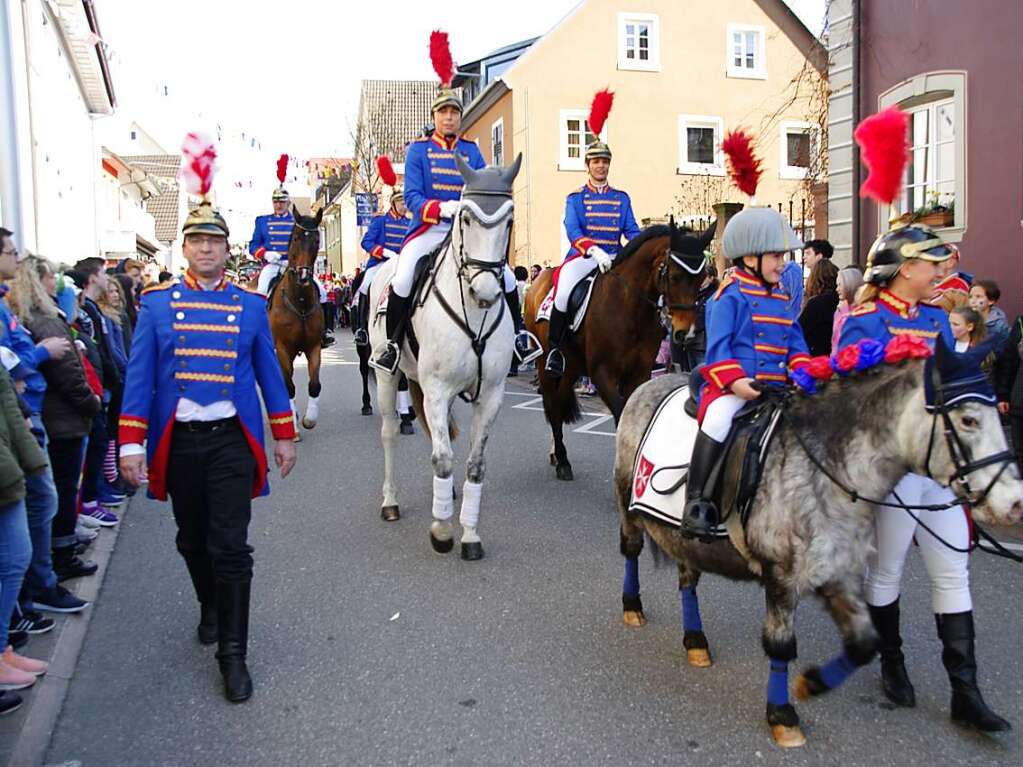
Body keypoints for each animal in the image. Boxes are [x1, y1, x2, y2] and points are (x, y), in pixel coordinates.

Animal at [370, 153, 523, 560]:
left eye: (509, 221)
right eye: (465, 218)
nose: (485, 291)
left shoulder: (490, 395)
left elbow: (474, 465)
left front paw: (469, 534)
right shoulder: (437, 389)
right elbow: (441, 459)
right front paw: (441, 531)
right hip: (388, 377)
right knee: (390, 432)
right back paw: (390, 502)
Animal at [523, 218, 716, 478]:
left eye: (701, 277)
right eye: (674, 276)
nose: (686, 332)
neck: (630, 307)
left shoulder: (638, 373)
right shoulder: (602, 373)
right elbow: (621, 413)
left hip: (571, 366)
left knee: (560, 400)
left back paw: (558, 455)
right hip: (546, 364)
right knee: (553, 405)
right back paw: (562, 461)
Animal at [609, 345, 1018, 748]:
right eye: (968, 420)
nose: (1014, 503)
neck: (827, 468)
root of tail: (651, 382)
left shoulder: (837, 572)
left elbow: (865, 643)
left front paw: (811, 684)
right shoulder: (781, 575)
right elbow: (780, 645)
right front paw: (782, 715)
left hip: (686, 537)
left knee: (688, 577)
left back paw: (695, 641)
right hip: (628, 501)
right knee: (631, 550)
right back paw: (633, 607)